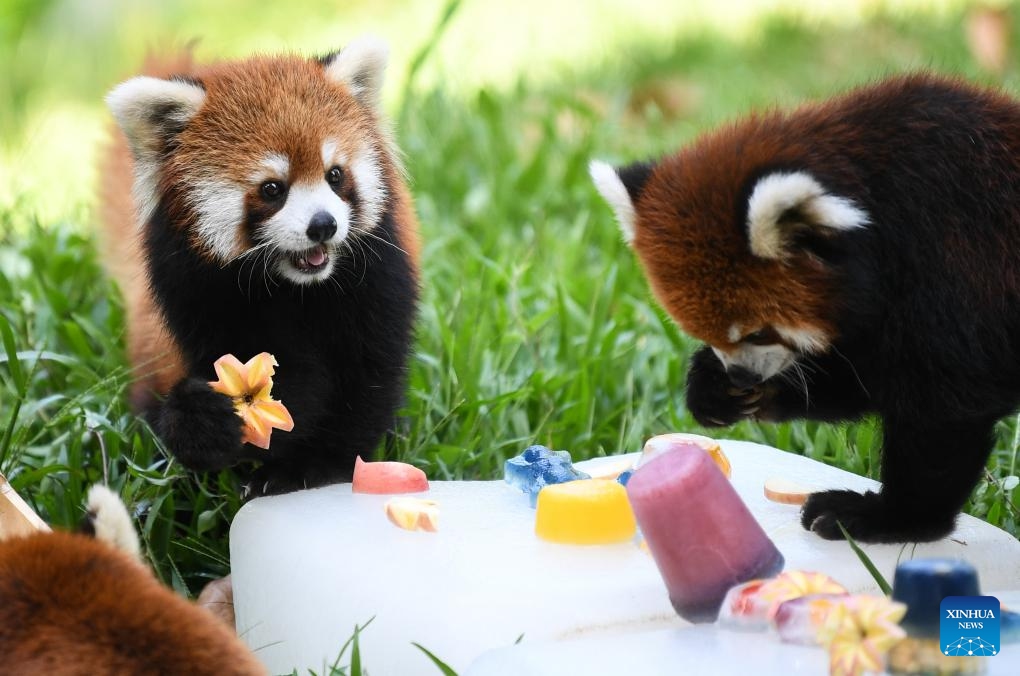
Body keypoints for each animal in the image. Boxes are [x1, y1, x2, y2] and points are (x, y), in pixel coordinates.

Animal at [100, 39, 422, 497]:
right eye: (273, 189)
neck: (298, 288)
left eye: (335, 175)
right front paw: (211, 427)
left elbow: (366, 378)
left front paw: (316, 466)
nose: (323, 225)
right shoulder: (202, 295)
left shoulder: (376, 282)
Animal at [591, 72, 1020, 546]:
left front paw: (893, 517)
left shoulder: (955, 266)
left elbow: (942, 410)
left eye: (759, 332)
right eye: (704, 334)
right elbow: (862, 377)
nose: (742, 376)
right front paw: (715, 388)